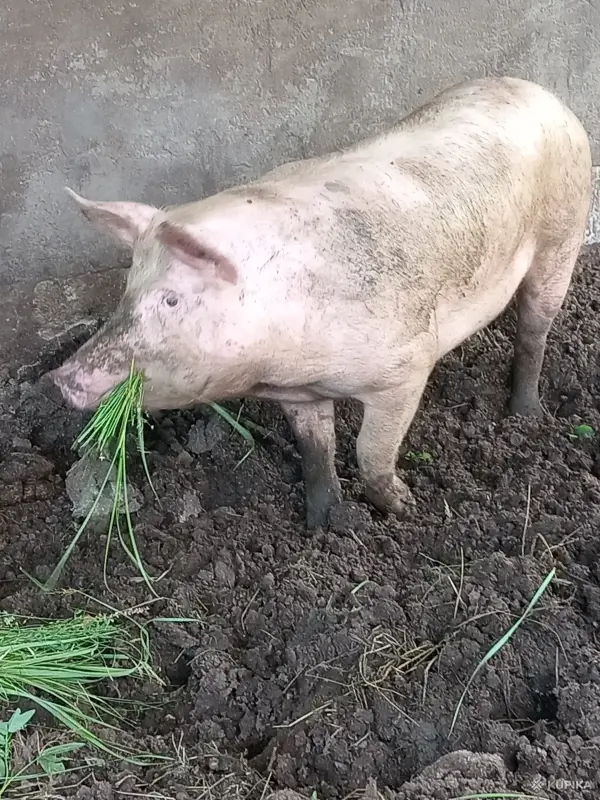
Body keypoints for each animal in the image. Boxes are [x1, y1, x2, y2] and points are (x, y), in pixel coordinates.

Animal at [45, 77, 592, 529]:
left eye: (173, 299)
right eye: (128, 288)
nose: (61, 377)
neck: (283, 362)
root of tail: (543, 93)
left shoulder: (405, 368)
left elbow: (371, 450)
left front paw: (404, 506)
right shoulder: (299, 394)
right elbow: (314, 451)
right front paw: (325, 525)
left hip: (562, 235)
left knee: (535, 329)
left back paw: (526, 415)